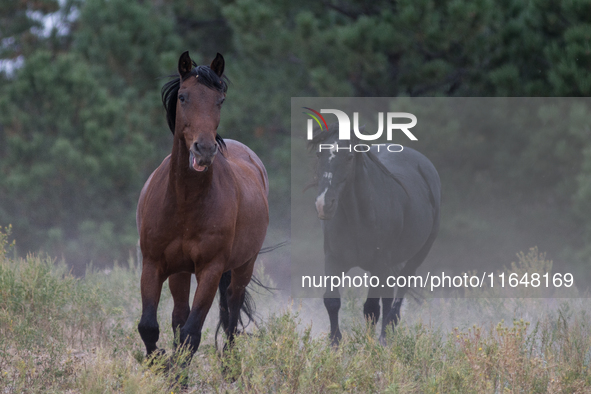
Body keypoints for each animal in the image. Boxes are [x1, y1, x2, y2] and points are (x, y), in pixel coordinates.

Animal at [136, 50, 268, 358]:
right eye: (183, 97)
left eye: (220, 100)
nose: (204, 149)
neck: (184, 203)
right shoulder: (153, 263)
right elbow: (149, 326)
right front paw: (160, 361)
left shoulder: (210, 270)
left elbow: (191, 334)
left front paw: (173, 366)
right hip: (181, 271)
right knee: (179, 315)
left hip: (244, 266)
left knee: (231, 312)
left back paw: (229, 363)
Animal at [310, 127, 440, 344]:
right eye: (319, 154)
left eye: (349, 157)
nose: (324, 205)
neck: (357, 217)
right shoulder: (334, 259)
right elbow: (332, 300)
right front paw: (335, 344)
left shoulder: (380, 264)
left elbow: (372, 307)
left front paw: (376, 344)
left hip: (417, 254)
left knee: (396, 298)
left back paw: (387, 336)